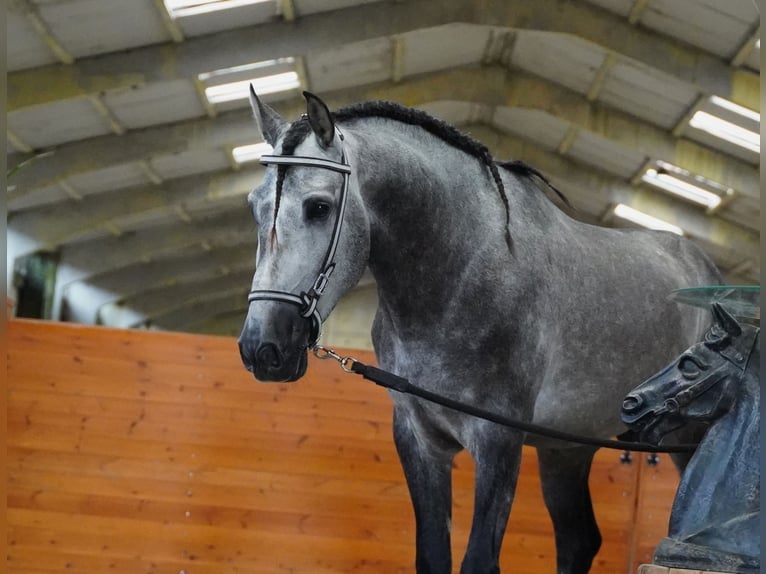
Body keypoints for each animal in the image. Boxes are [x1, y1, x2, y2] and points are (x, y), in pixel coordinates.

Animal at [237, 90, 724, 574]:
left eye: (318, 207)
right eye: (254, 208)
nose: (261, 349)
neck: (458, 277)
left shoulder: (498, 441)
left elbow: (478, 561)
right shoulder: (419, 440)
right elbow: (433, 556)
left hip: (686, 439)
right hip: (565, 448)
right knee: (578, 540)